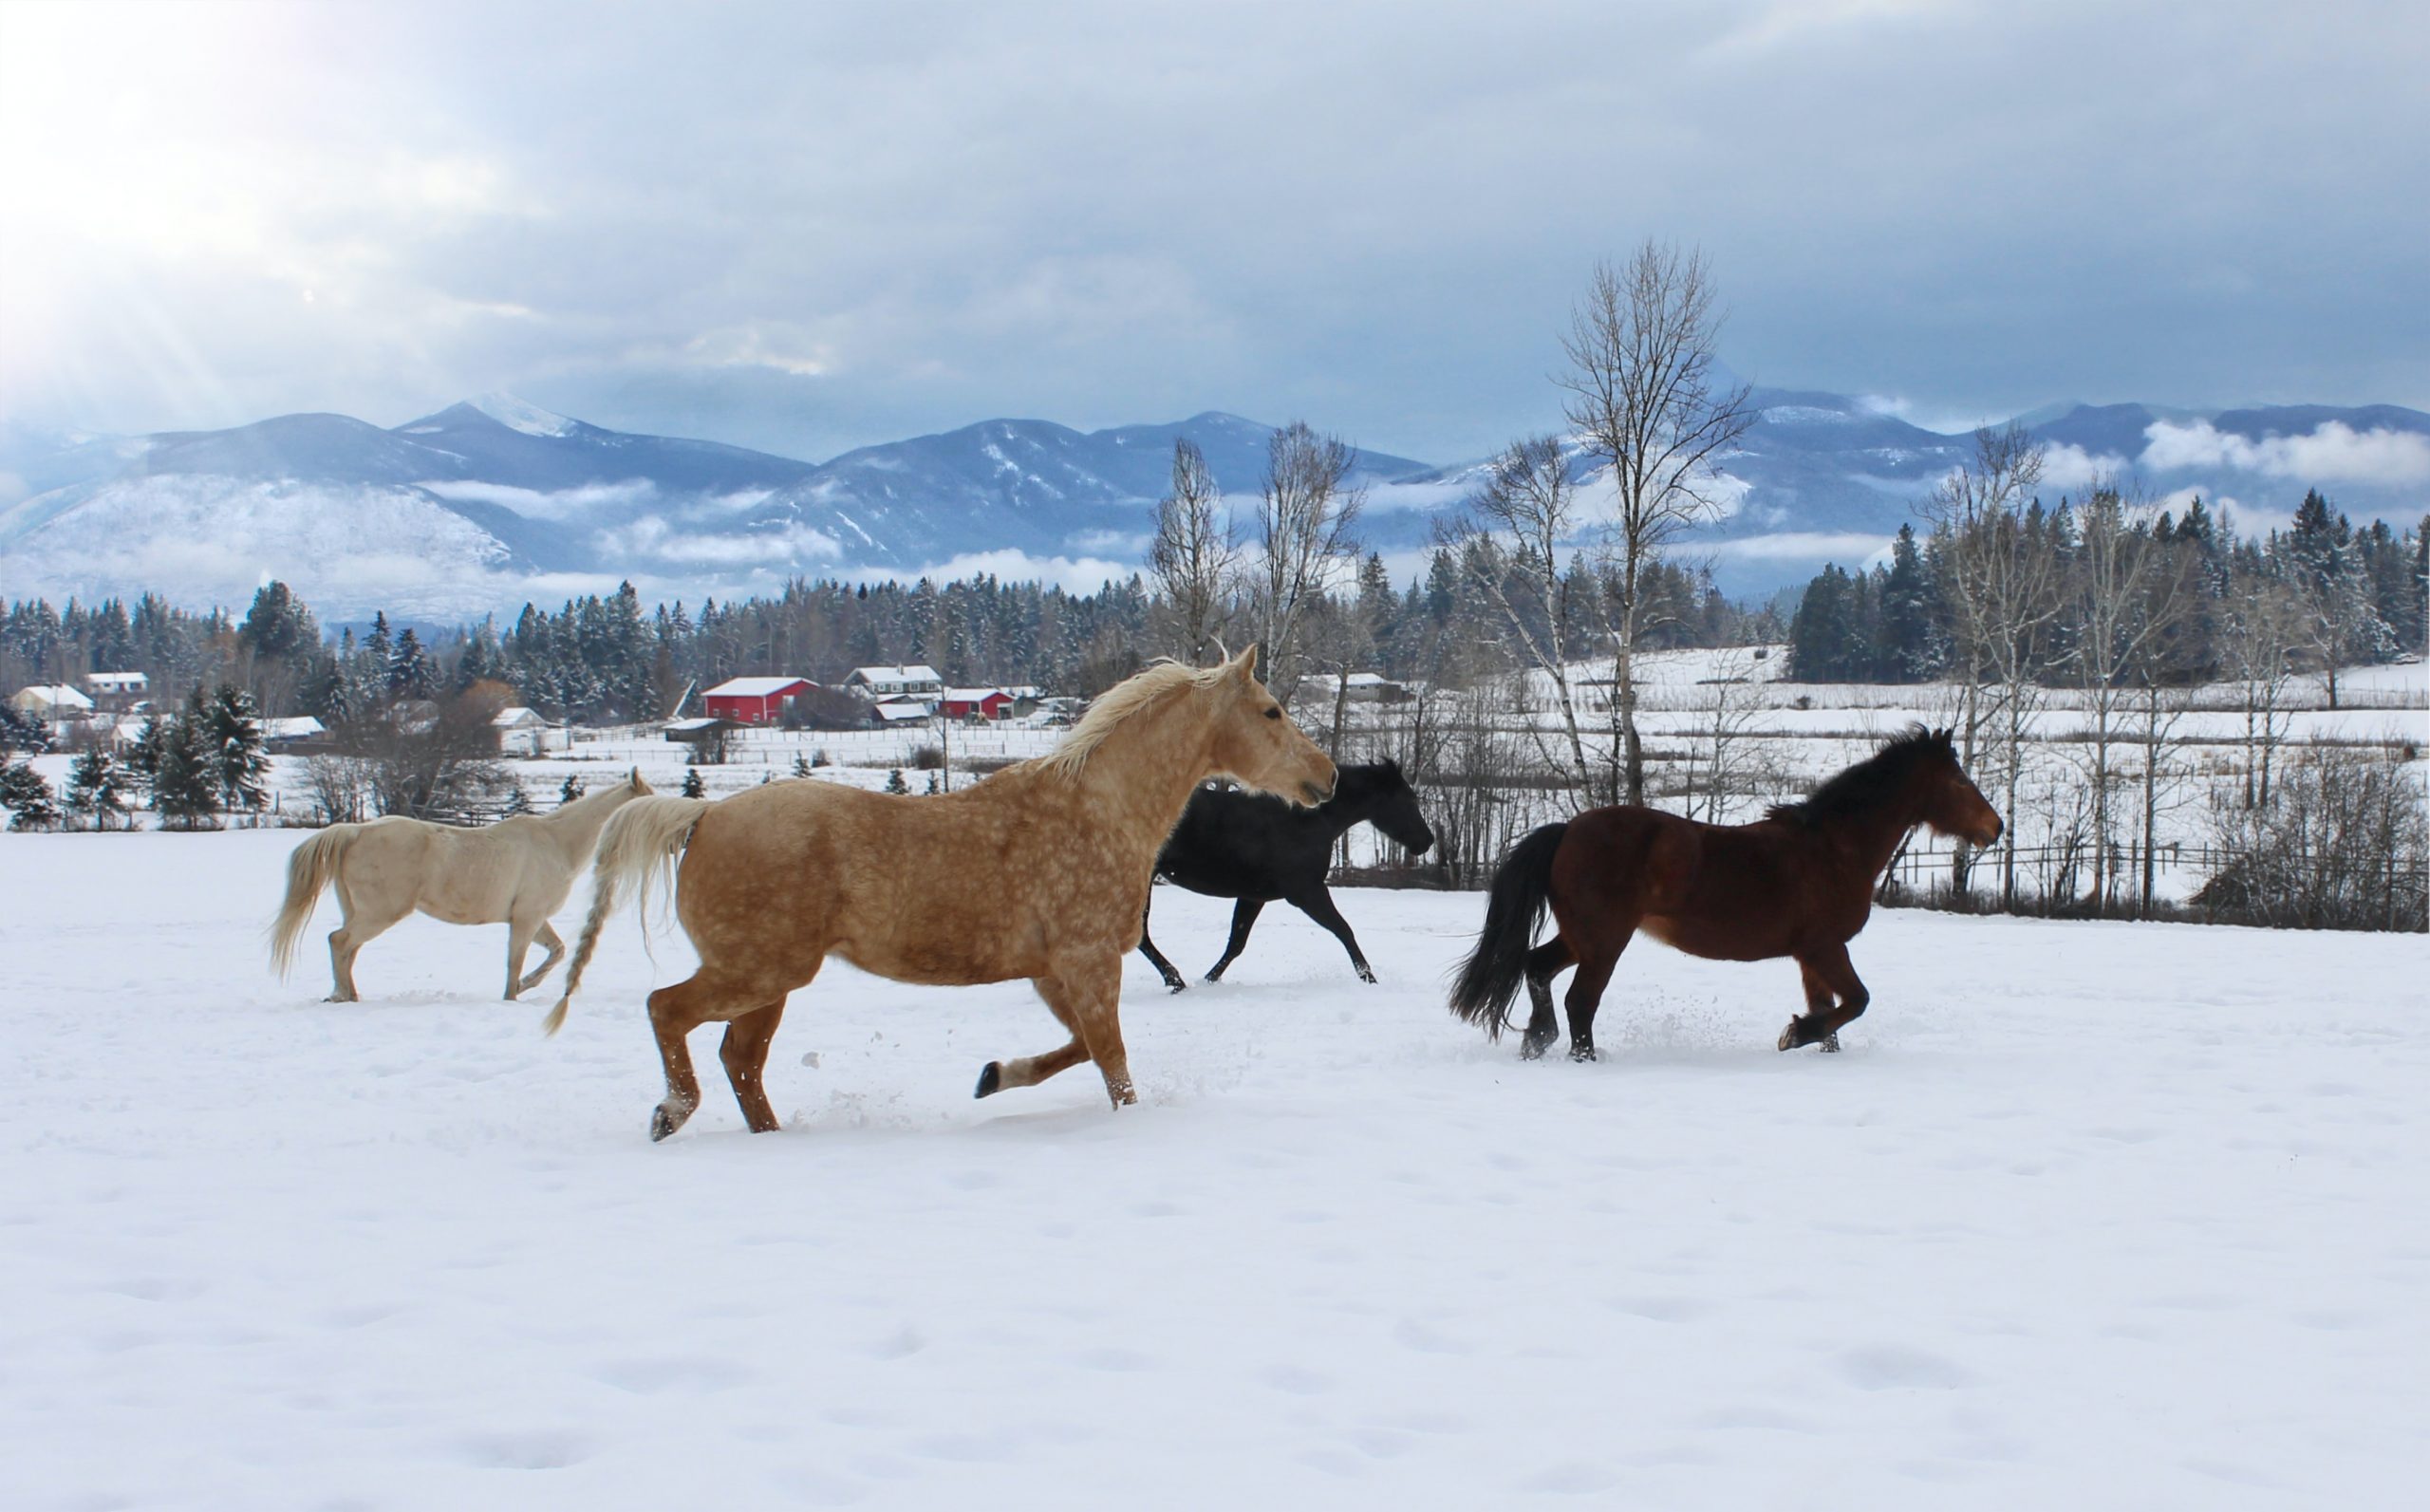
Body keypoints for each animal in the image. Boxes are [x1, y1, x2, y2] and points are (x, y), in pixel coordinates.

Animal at [271, 768, 656, 1006]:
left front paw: (523, 986)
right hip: (379, 913)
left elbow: (556, 952)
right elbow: (515, 961)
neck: (558, 843)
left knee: (348, 949)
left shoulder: (533, 919)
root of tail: (355, 831)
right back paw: (341, 996)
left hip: (359, 912)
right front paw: (512, 995)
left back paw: (348, 995)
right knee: (340, 942)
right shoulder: (526, 918)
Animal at [551, 646, 1341, 1142]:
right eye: (1271, 711)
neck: (1100, 809)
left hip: (768, 982)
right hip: (759, 970)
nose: (1327, 776)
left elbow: (1079, 1049)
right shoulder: (1088, 961)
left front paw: (992, 1076)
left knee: (741, 1062)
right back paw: (671, 1112)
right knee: (668, 1011)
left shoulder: (1053, 970)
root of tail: (702, 816)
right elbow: (1113, 1063)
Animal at [1131, 758, 1419, 997]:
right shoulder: (1307, 892)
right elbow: (1344, 930)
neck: (1308, 820)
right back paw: (1175, 980)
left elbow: (1236, 943)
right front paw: (1369, 978)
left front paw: (1209, 980)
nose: (1425, 841)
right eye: (1409, 799)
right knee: (1140, 934)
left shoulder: (1253, 896)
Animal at [1448, 734, 2002, 1064]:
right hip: (1605, 941)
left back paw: (1537, 1040)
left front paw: (1815, 1045)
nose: (1995, 827)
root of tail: (1567, 831)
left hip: (1582, 936)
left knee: (1537, 968)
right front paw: (1793, 1035)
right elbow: (1857, 1001)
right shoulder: (1826, 947)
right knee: (1579, 1000)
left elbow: (1831, 1011)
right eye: (1959, 780)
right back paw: (1582, 1057)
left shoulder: (1810, 955)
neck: (1834, 847)